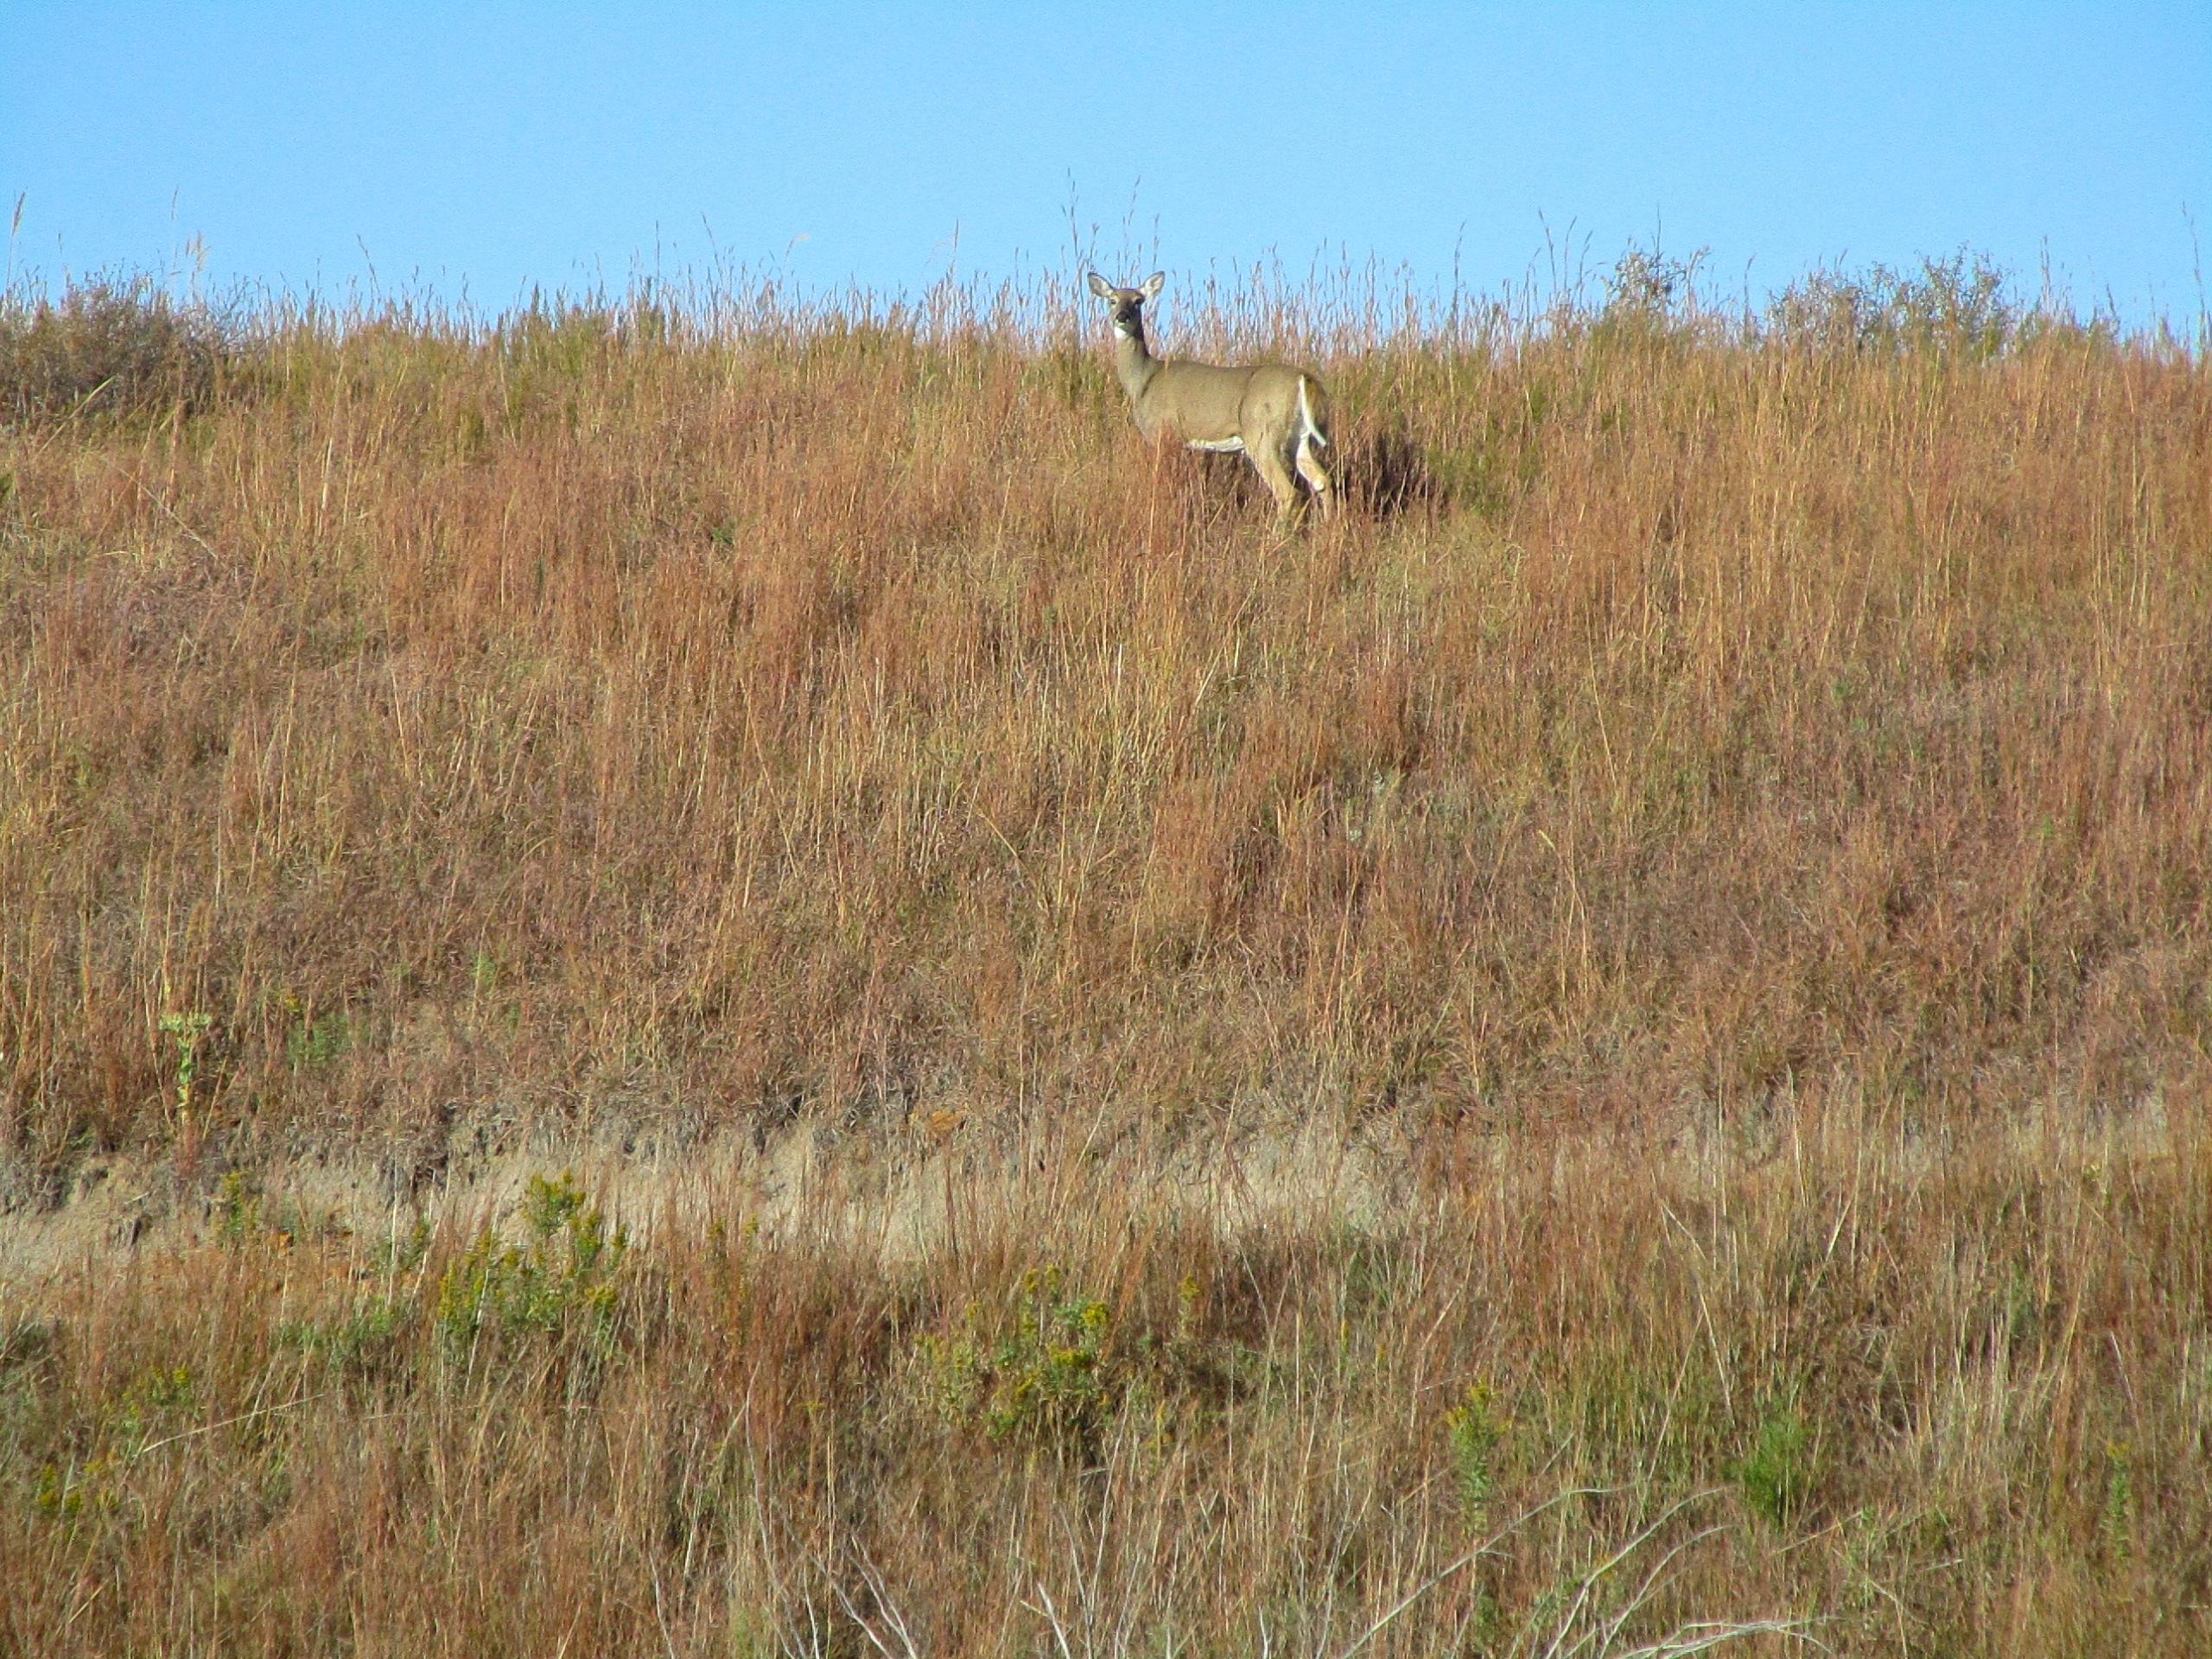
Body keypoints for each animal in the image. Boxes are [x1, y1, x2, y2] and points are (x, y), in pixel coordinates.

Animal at [1086, 271, 1336, 529]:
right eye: (1112, 300)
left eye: (1138, 301)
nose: (1122, 317)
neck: (1144, 379)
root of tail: (1304, 379)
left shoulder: (1161, 433)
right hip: (1300, 437)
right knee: (1322, 480)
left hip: (1262, 434)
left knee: (1289, 492)